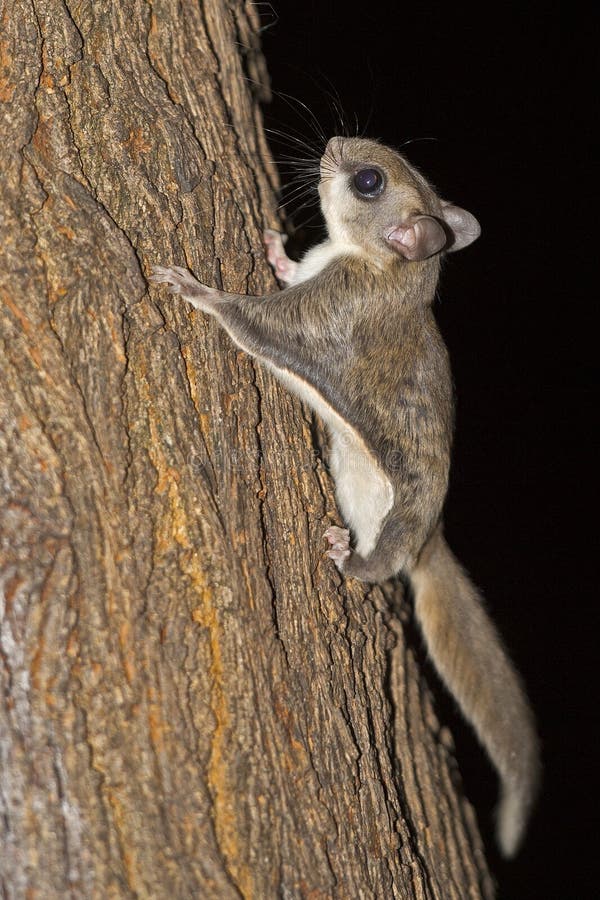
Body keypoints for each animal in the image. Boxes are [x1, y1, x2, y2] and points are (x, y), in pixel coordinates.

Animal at [149, 134, 540, 856]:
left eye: (367, 180)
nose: (332, 144)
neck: (381, 268)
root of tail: (428, 540)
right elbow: (286, 272)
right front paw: (276, 247)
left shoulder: (325, 313)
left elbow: (249, 320)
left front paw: (195, 289)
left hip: (392, 522)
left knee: (380, 567)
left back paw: (348, 557)